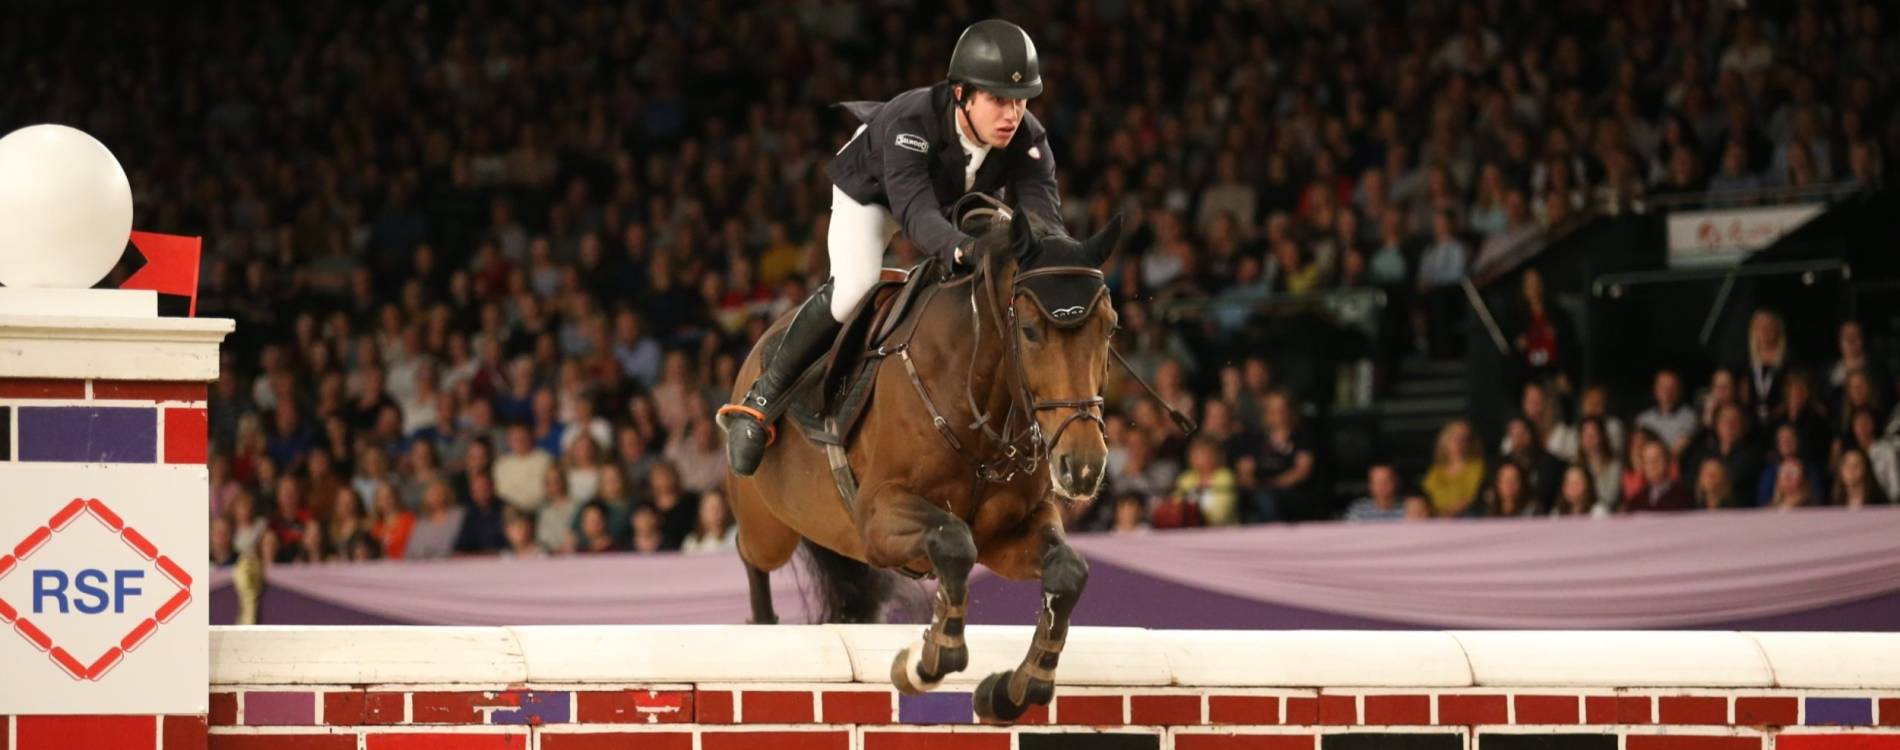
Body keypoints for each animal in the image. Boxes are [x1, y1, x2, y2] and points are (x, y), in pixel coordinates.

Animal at [727, 205, 1125, 723]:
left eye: (1110, 328)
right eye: (1030, 331)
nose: (1083, 466)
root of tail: (762, 343)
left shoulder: (1005, 535)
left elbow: (1067, 570)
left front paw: (1015, 688)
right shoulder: (879, 518)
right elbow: (953, 542)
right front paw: (928, 659)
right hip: (768, 524)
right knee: (751, 553)